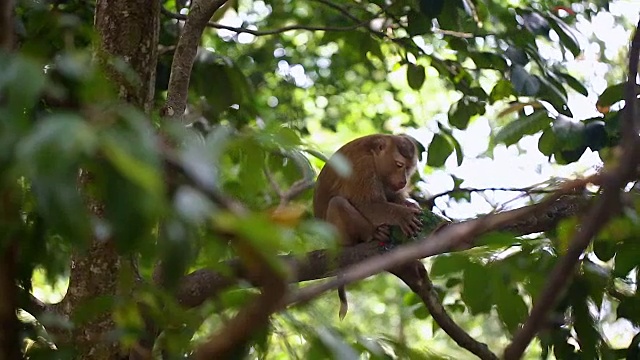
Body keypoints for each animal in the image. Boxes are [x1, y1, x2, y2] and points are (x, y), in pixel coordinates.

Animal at [312, 134, 422, 320]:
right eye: (399, 165)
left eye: (409, 169)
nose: (404, 181)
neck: (373, 154)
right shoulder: (362, 167)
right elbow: (366, 204)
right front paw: (402, 215)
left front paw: (409, 205)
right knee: (337, 203)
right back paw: (373, 234)